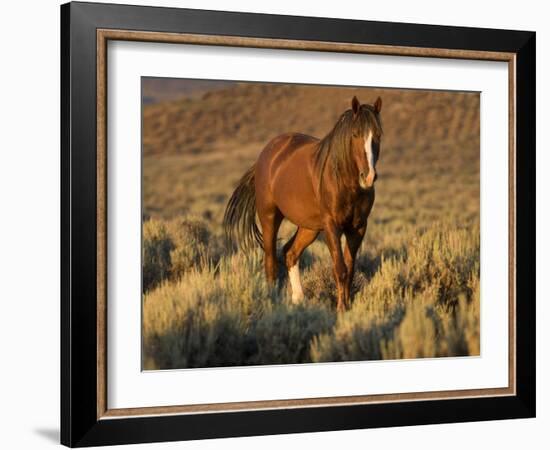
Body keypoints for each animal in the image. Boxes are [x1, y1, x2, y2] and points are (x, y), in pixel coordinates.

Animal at [224, 96, 384, 312]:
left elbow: (350, 269)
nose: (368, 177)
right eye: (355, 134)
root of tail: (266, 154)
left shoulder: (358, 228)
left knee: (290, 253)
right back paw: (272, 302)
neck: (343, 180)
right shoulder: (331, 227)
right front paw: (341, 309)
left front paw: (347, 306)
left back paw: (298, 299)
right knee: (271, 262)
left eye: (378, 135)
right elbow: (340, 269)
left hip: (309, 228)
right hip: (270, 217)